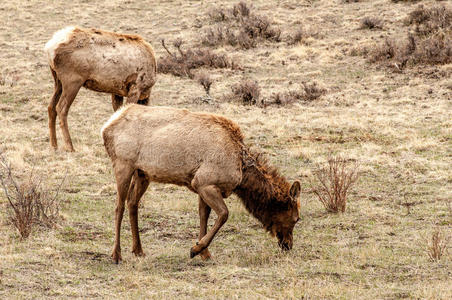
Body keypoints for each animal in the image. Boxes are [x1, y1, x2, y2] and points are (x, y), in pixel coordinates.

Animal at [100, 105, 302, 262]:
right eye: (296, 218)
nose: (288, 245)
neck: (241, 173)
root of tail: (106, 126)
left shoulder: (202, 185)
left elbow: (204, 215)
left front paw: (204, 252)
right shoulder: (204, 182)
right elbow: (224, 214)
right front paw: (196, 249)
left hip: (143, 173)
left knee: (132, 203)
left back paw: (138, 250)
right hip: (123, 164)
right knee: (118, 207)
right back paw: (116, 254)